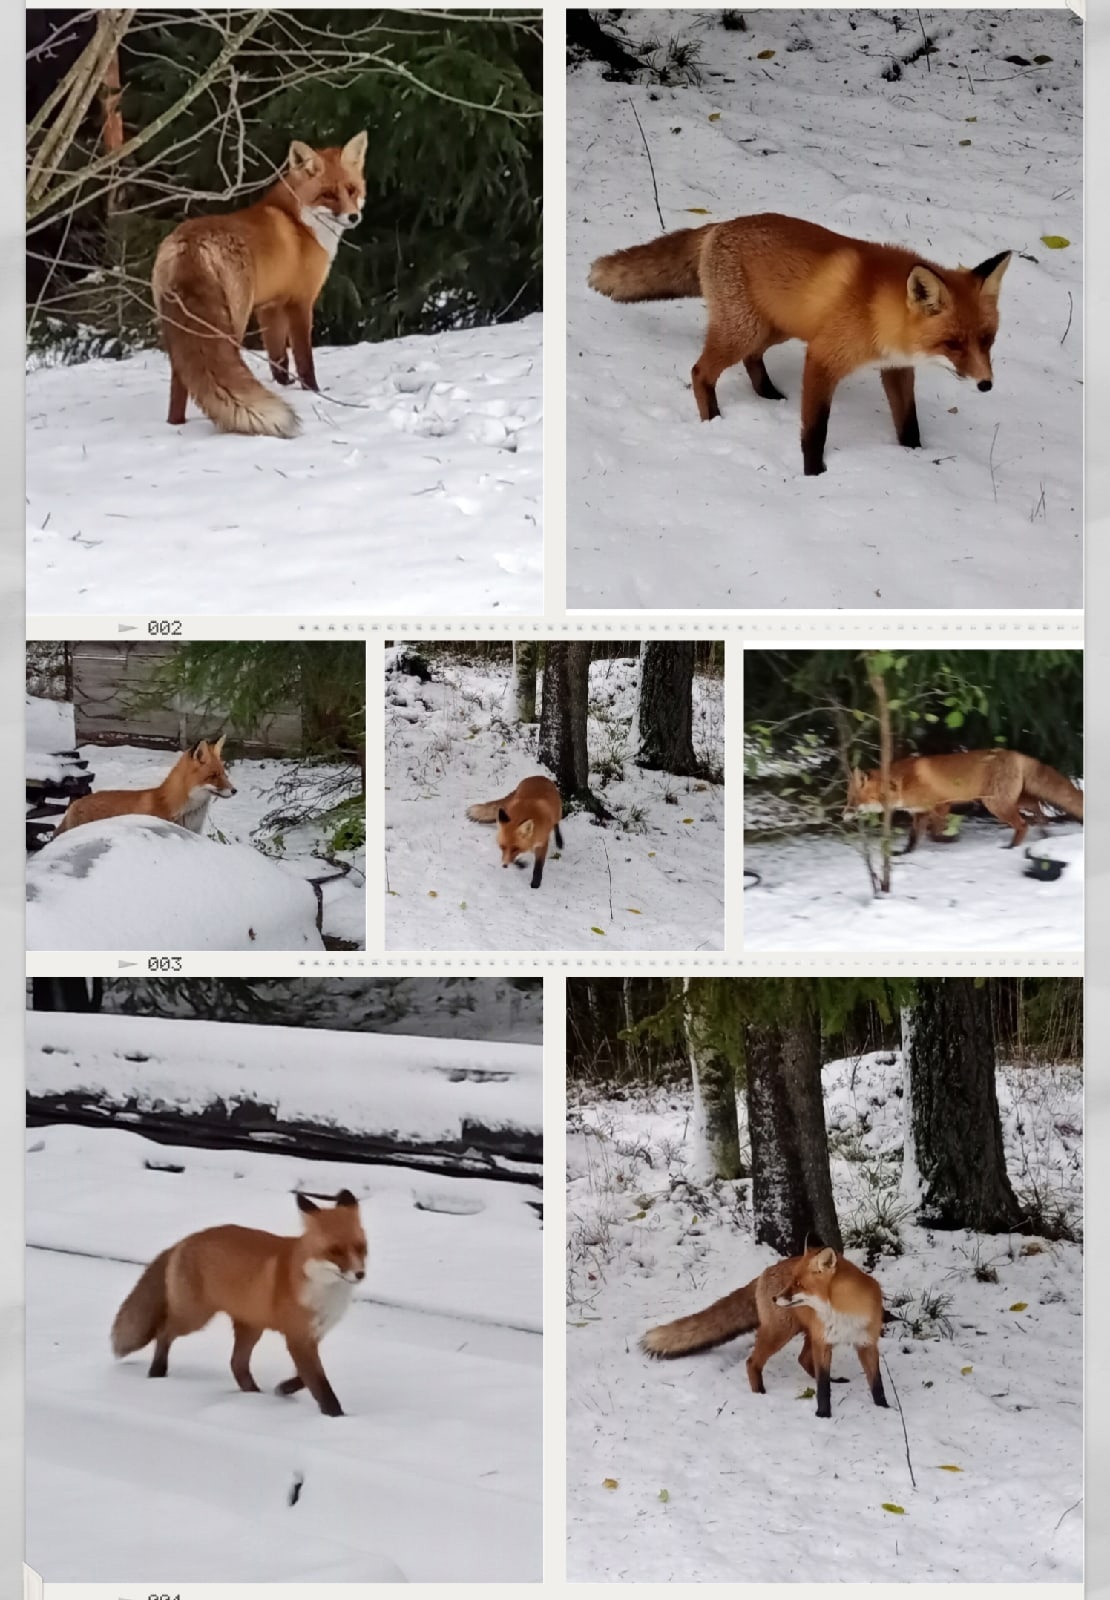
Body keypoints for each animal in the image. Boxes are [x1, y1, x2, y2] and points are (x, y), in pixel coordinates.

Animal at [112, 1184, 367, 1420]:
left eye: (361, 1247)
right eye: (335, 1251)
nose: (360, 1274)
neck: (322, 1288)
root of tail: (183, 1240)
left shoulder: (311, 1336)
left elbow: (305, 1378)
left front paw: (284, 1389)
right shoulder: (298, 1338)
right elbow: (321, 1385)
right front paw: (336, 1417)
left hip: (250, 1327)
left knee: (236, 1363)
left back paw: (254, 1396)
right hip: (194, 1318)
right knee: (163, 1332)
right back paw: (157, 1373)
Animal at [153, 132, 369, 438]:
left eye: (351, 190)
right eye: (327, 194)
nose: (353, 217)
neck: (300, 222)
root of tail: (188, 244)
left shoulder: (269, 307)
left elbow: (279, 361)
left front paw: (284, 387)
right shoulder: (300, 302)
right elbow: (304, 360)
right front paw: (313, 392)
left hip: (179, 327)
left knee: (181, 380)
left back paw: (176, 425)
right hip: (235, 321)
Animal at [591, 212, 1017, 473]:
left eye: (987, 339)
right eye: (953, 344)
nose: (986, 385)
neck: (878, 310)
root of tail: (720, 224)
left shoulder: (896, 368)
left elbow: (907, 422)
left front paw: (915, 457)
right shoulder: (823, 358)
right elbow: (815, 430)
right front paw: (815, 475)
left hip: (774, 327)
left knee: (752, 359)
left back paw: (767, 393)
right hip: (744, 329)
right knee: (700, 372)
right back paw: (712, 420)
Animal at [639, 1241, 889, 1420]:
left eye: (799, 1285)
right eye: (792, 1281)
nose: (775, 1298)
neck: (841, 1311)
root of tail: (764, 1273)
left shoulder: (866, 1343)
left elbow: (876, 1383)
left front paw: (885, 1409)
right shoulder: (823, 1340)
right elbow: (823, 1387)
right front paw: (823, 1414)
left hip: (804, 1333)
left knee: (803, 1359)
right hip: (781, 1333)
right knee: (753, 1362)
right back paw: (759, 1392)